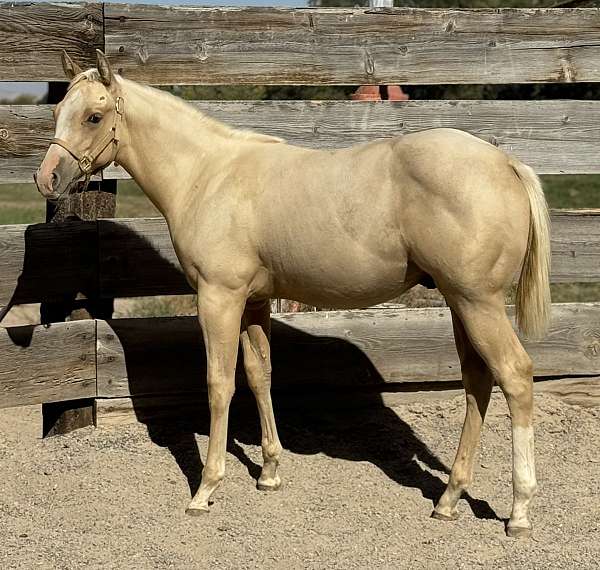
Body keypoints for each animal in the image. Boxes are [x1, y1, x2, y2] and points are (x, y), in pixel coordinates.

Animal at [35, 51, 552, 536]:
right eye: (59, 108)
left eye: (94, 116)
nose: (47, 179)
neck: (208, 174)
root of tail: (505, 162)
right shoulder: (254, 302)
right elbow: (259, 375)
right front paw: (269, 473)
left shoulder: (219, 299)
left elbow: (219, 384)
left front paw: (205, 488)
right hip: (460, 302)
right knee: (477, 383)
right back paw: (448, 500)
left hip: (478, 302)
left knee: (515, 376)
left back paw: (519, 512)